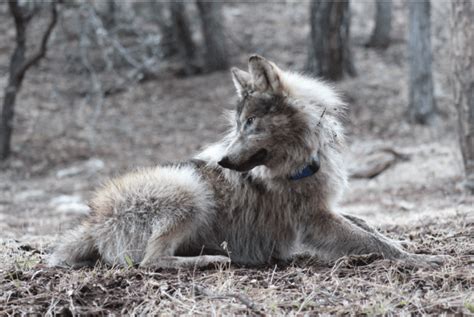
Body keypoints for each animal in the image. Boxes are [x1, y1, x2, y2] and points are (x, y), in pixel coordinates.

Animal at [50, 55, 446, 268]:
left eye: (251, 124)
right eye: (238, 125)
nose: (223, 161)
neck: (301, 163)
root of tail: (92, 220)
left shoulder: (327, 208)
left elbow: (370, 227)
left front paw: (409, 245)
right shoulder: (316, 221)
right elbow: (372, 242)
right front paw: (421, 260)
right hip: (190, 191)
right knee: (151, 262)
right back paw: (211, 260)